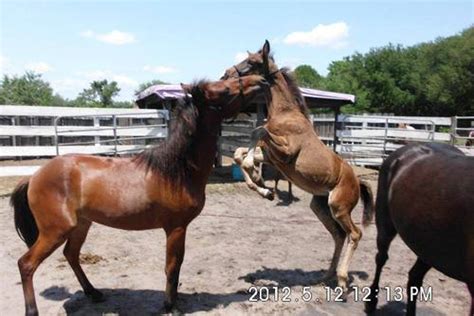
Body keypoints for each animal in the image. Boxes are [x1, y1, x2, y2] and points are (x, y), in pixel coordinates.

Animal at [11, 74, 268, 316]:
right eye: (223, 89)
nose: (261, 81)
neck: (176, 170)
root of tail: (34, 177)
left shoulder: (179, 228)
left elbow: (177, 265)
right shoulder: (175, 228)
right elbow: (172, 266)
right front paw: (170, 306)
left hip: (81, 225)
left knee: (71, 255)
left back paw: (94, 293)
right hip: (55, 230)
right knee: (26, 264)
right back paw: (32, 310)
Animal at [224, 40, 376, 292]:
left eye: (253, 62)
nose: (226, 74)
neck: (285, 113)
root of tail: (357, 181)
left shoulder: (285, 152)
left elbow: (258, 132)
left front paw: (258, 179)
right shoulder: (272, 156)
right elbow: (240, 153)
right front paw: (263, 188)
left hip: (339, 206)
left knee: (355, 234)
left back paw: (342, 280)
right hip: (320, 206)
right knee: (338, 236)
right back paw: (325, 276)